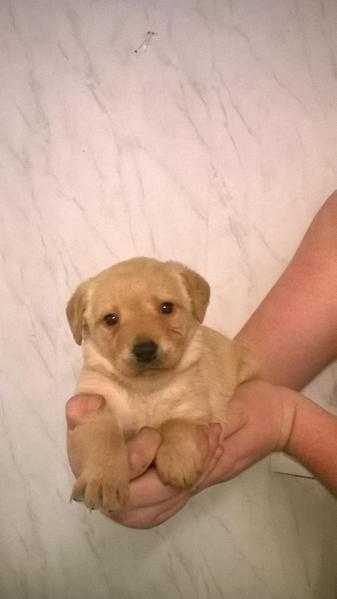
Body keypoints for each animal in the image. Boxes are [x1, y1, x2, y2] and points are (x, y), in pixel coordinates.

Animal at [66, 255, 255, 512]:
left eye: (166, 308)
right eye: (111, 319)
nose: (145, 350)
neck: (146, 388)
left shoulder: (194, 407)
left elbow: (176, 424)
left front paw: (178, 462)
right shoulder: (93, 406)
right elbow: (103, 435)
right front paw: (105, 479)